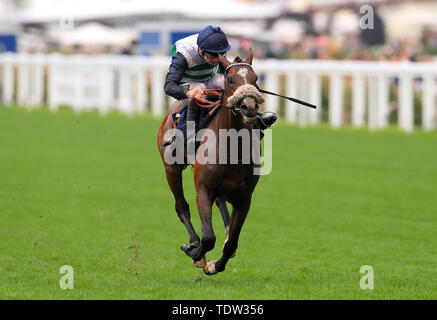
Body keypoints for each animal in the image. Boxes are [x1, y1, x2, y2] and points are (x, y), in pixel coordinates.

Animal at [158, 52, 264, 276]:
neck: (232, 148)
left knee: (221, 204)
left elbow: (231, 243)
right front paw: (195, 252)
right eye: (230, 79)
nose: (249, 107)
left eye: (256, 78)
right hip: (171, 169)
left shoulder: (244, 198)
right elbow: (208, 238)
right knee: (181, 207)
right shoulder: (203, 190)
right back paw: (193, 242)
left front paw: (216, 264)